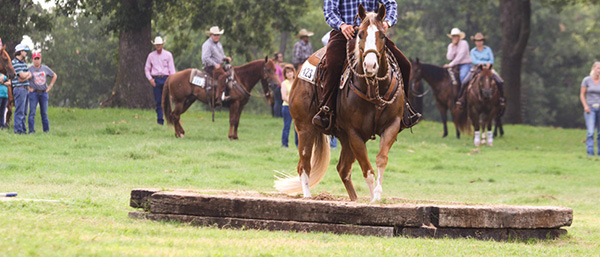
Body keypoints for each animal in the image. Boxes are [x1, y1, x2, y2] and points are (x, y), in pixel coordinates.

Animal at [276, 4, 408, 200]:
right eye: (360, 34)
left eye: (382, 35)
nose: (370, 66)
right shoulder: (355, 133)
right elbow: (367, 170)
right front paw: (373, 199)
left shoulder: (391, 125)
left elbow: (381, 160)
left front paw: (376, 195)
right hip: (305, 128)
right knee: (304, 166)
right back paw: (307, 196)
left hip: (343, 139)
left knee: (343, 169)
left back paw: (354, 199)